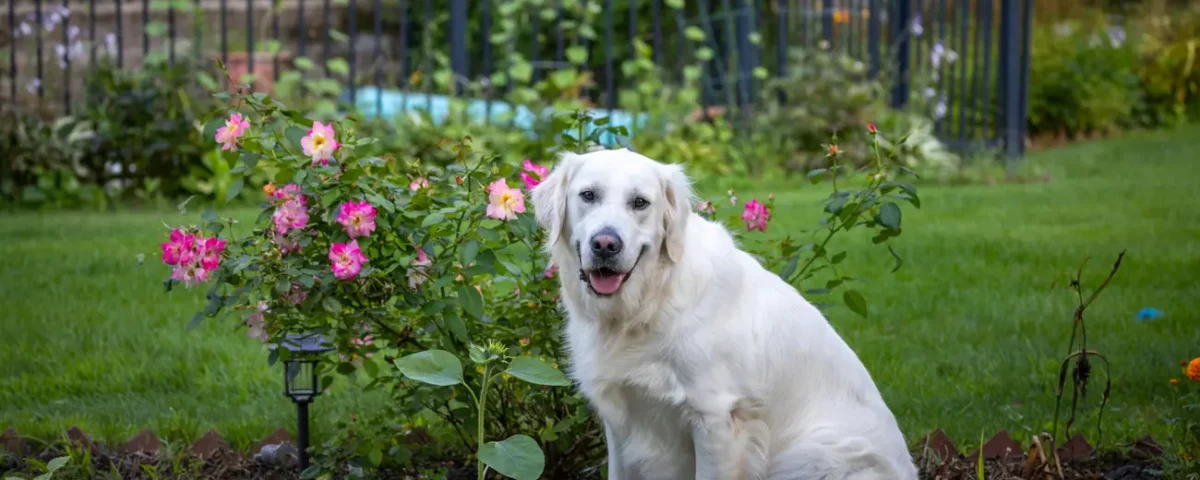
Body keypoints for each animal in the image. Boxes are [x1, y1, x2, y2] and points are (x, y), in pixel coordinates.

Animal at [530, 148, 912, 477]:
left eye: (640, 202)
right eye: (588, 195)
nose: (606, 244)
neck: (646, 304)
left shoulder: (715, 418)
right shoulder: (621, 420)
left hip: (816, 452)